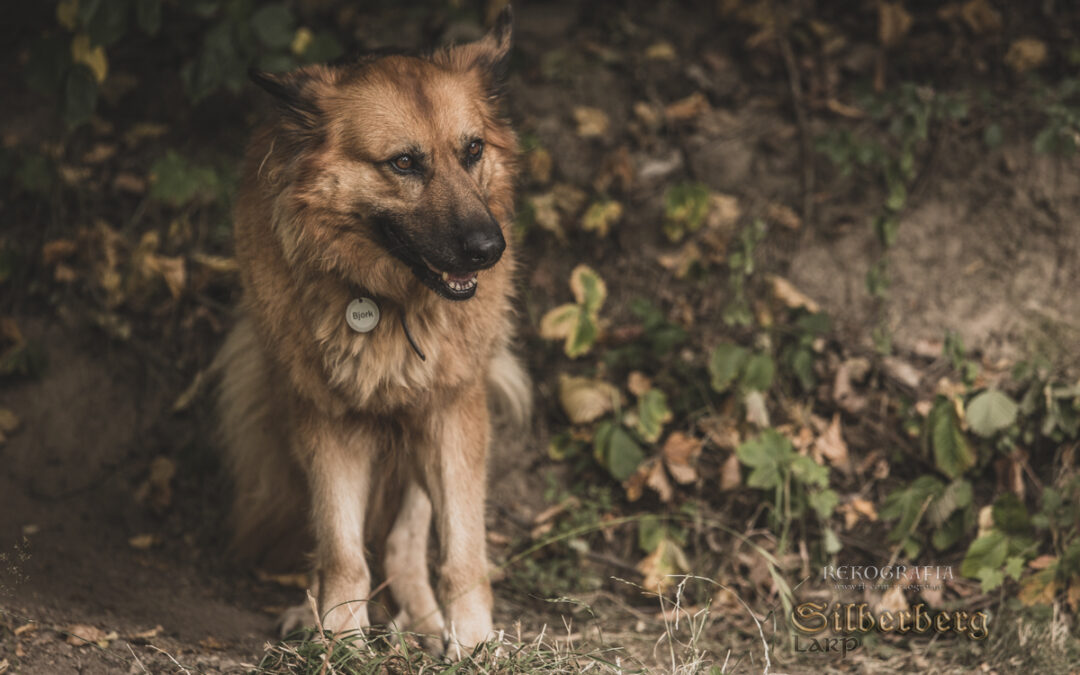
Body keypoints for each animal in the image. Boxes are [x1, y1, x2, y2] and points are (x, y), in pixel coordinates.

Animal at [209, 7, 527, 652]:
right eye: (404, 162)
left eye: (473, 150)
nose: (489, 250)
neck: (388, 298)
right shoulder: (328, 419)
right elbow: (340, 548)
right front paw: (339, 636)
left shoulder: (451, 410)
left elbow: (461, 550)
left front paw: (471, 638)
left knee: (406, 542)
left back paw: (425, 621)